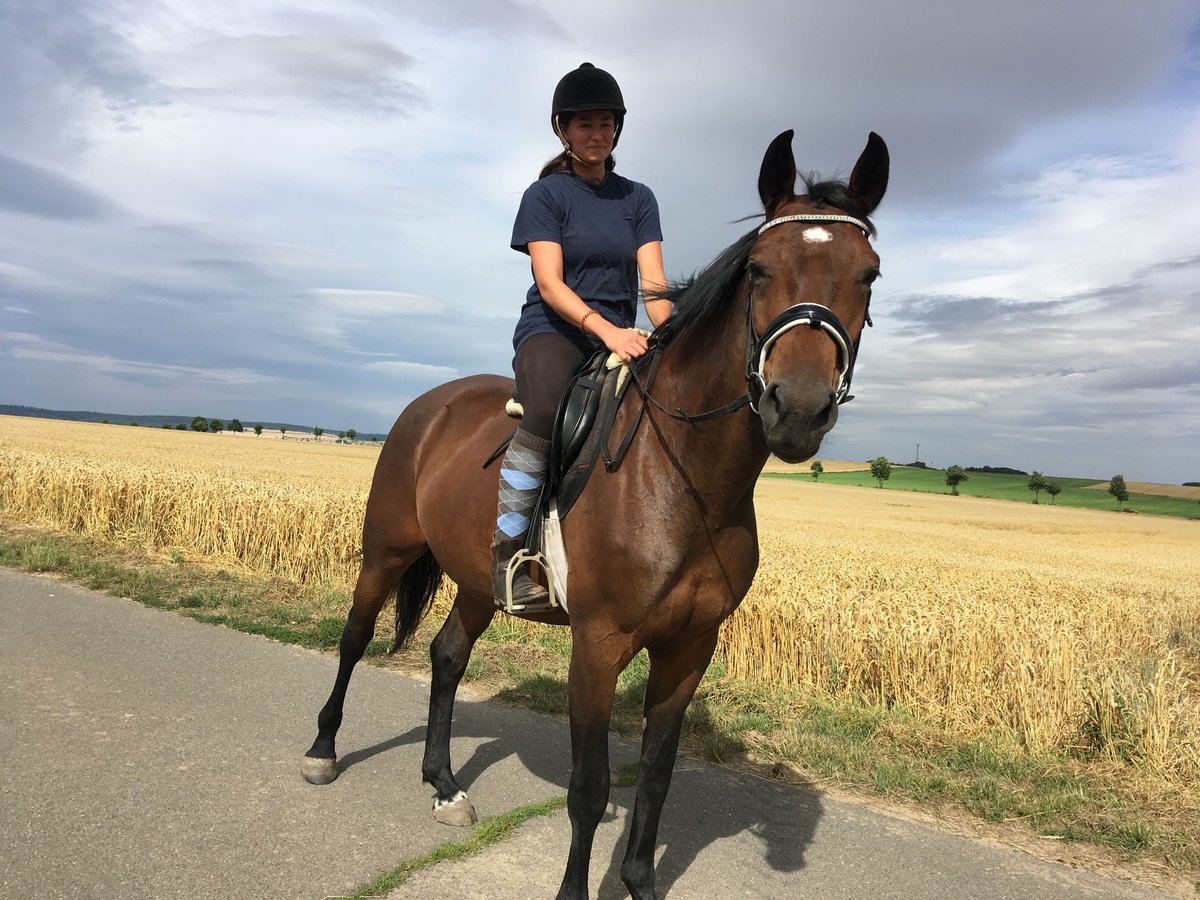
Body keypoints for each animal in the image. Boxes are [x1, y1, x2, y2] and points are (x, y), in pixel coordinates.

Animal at [304, 128, 888, 900]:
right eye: (760, 270)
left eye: (869, 275)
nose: (797, 407)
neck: (685, 481)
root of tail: (430, 403)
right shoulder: (599, 644)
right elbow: (589, 786)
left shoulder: (689, 649)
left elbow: (658, 777)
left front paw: (639, 881)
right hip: (385, 550)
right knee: (354, 637)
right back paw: (322, 750)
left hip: (478, 579)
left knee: (448, 655)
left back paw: (444, 784)